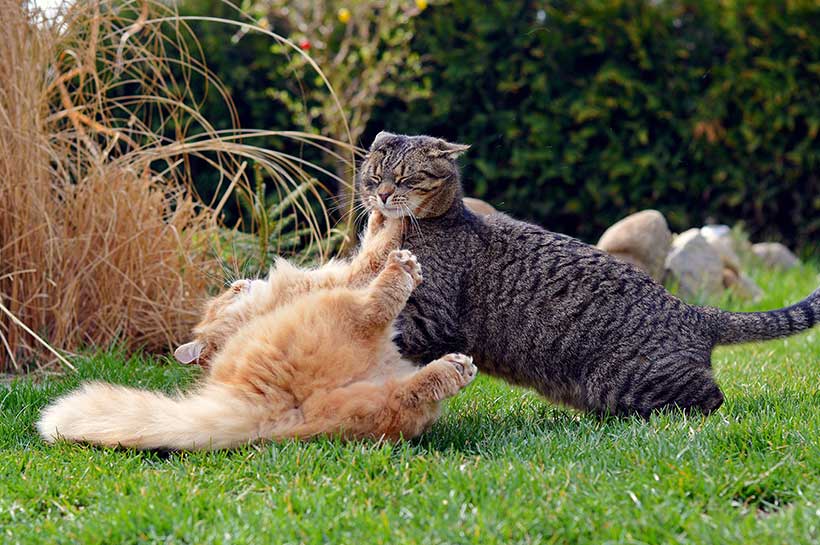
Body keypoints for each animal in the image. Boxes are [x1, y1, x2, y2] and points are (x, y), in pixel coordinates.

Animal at [38, 215, 478, 448]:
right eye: (230, 293)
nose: (239, 281)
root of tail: (261, 412)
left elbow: (371, 241)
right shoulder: (343, 279)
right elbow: (373, 248)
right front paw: (391, 221)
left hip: (383, 403)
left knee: (409, 392)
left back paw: (455, 369)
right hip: (342, 312)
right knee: (377, 305)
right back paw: (403, 273)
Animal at [358, 132, 820, 416]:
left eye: (406, 177)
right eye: (373, 177)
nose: (383, 194)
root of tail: (691, 311)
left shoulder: (434, 317)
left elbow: (394, 328)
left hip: (628, 381)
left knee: (712, 400)